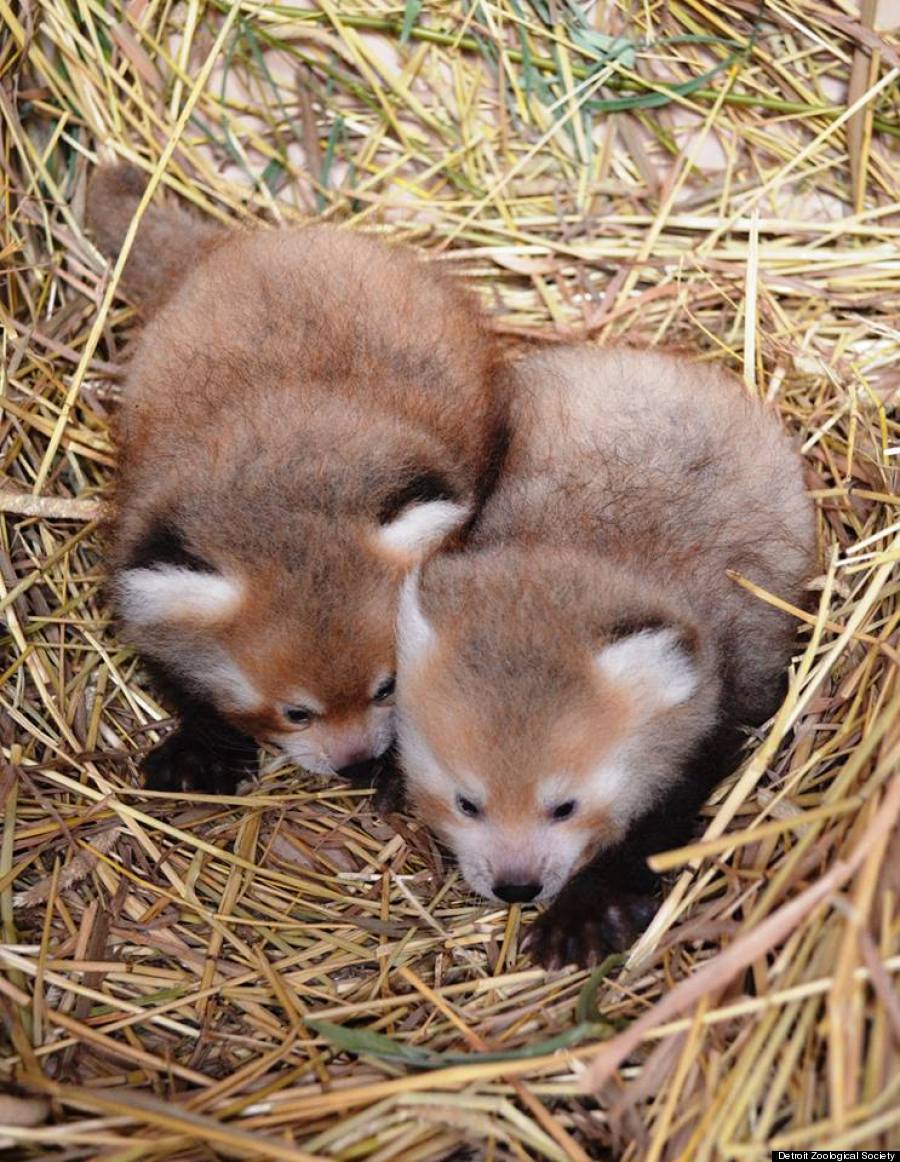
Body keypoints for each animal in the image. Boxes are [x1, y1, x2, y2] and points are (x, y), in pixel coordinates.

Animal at [88, 168, 510, 794]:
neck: (288, 482)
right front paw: (198, 749)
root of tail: (233, 244)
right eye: (296, 712)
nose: (354, 761)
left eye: (387, 687)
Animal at [397, 346, 817, 971]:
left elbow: (653, 828)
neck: (587, 549)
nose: (516, 887)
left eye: (565, 807)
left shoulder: (714, 723)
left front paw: (588, 911)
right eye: (467, 803)